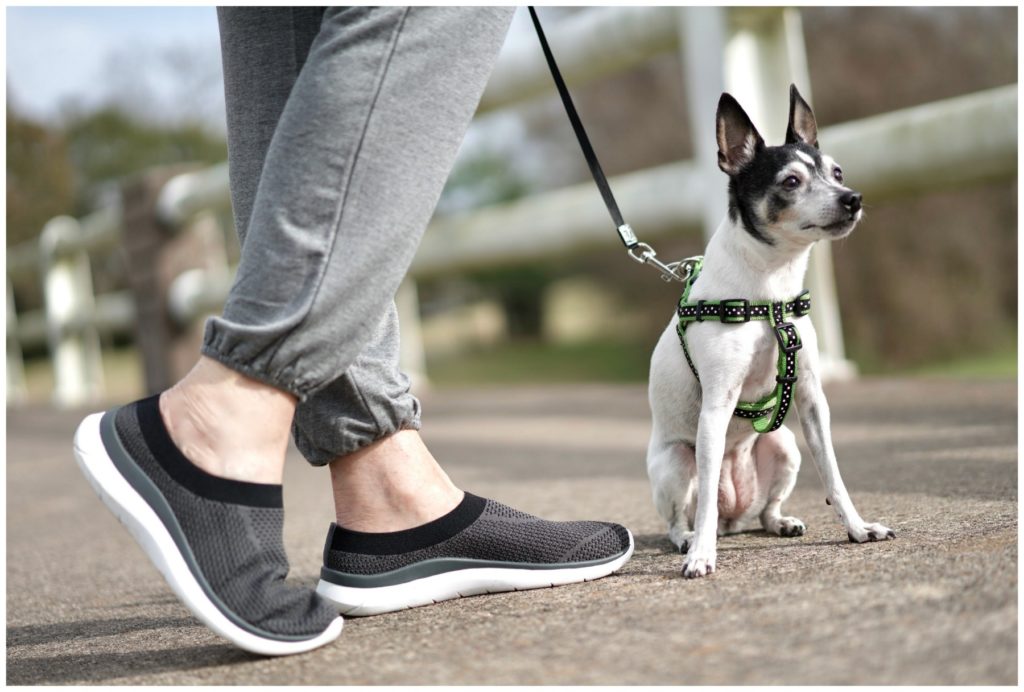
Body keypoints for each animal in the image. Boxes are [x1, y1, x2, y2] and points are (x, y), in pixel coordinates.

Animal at [647, 84, 897, 577]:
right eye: (790, 182)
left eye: (837, 172)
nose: (852, 198)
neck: (770, 291)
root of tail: (734, 521)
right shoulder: (716, 406)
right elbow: (704, 502)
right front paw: (702, 556)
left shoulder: (812, 401)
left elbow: (834, 476)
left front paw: (858, 528)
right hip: (678, 462)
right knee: (689, 512)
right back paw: (690, 539)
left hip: (784, 446)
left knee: (763, 510)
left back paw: (779, 522)